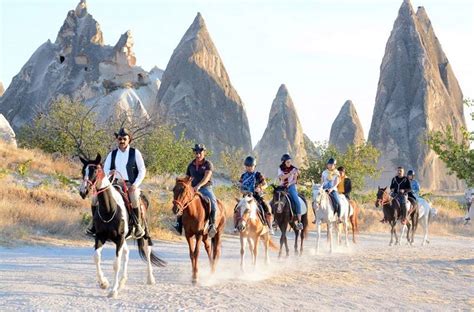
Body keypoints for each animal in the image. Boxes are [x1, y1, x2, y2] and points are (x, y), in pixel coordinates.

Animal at [78, 155, 166, 298]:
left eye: (95, 171)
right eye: (83, 171)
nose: (83, 191)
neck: (109, 208)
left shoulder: (119, 239)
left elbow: (116, 264)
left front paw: (113, 291)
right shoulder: (100, 237)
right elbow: (96, 258)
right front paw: (104, 283)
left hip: (143, 233)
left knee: (147, 250)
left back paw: (150, 278)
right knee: (127, 252)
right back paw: (122, 282)